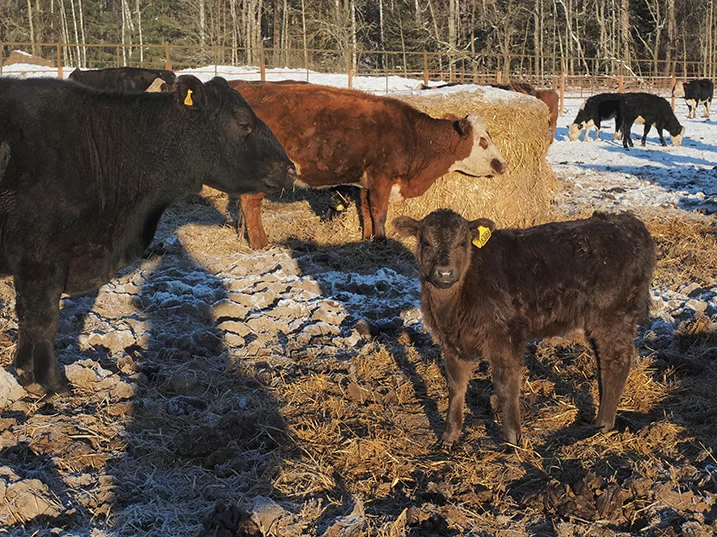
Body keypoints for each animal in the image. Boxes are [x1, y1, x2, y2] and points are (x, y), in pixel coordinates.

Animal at [0, 75, 295, 393]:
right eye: (243, 123)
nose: (291, 169)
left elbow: (28, 318)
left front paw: (27, 373)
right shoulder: (40, 258)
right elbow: (42, 320)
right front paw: (50, 382)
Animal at [229, 80, 507, 249]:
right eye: (483, 141)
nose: (502, 164)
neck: (413, 136)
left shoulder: (365, 183)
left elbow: (365, 211)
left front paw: (366, 239)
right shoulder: (381, 178)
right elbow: (380, 213)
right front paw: (382, 241)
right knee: (251, 203)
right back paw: (262, 244)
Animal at [393, 210, 655, 449]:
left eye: (462, 242)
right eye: (425, 242)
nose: (445, 272)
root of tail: (628, 223)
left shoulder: (505, 336)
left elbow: (505, 385)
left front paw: (512, 439)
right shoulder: (452, 341)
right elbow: (456, 386)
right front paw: (448, 438)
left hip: (612, 315)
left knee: (617, 361)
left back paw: (602, 426)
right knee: (604, 361)